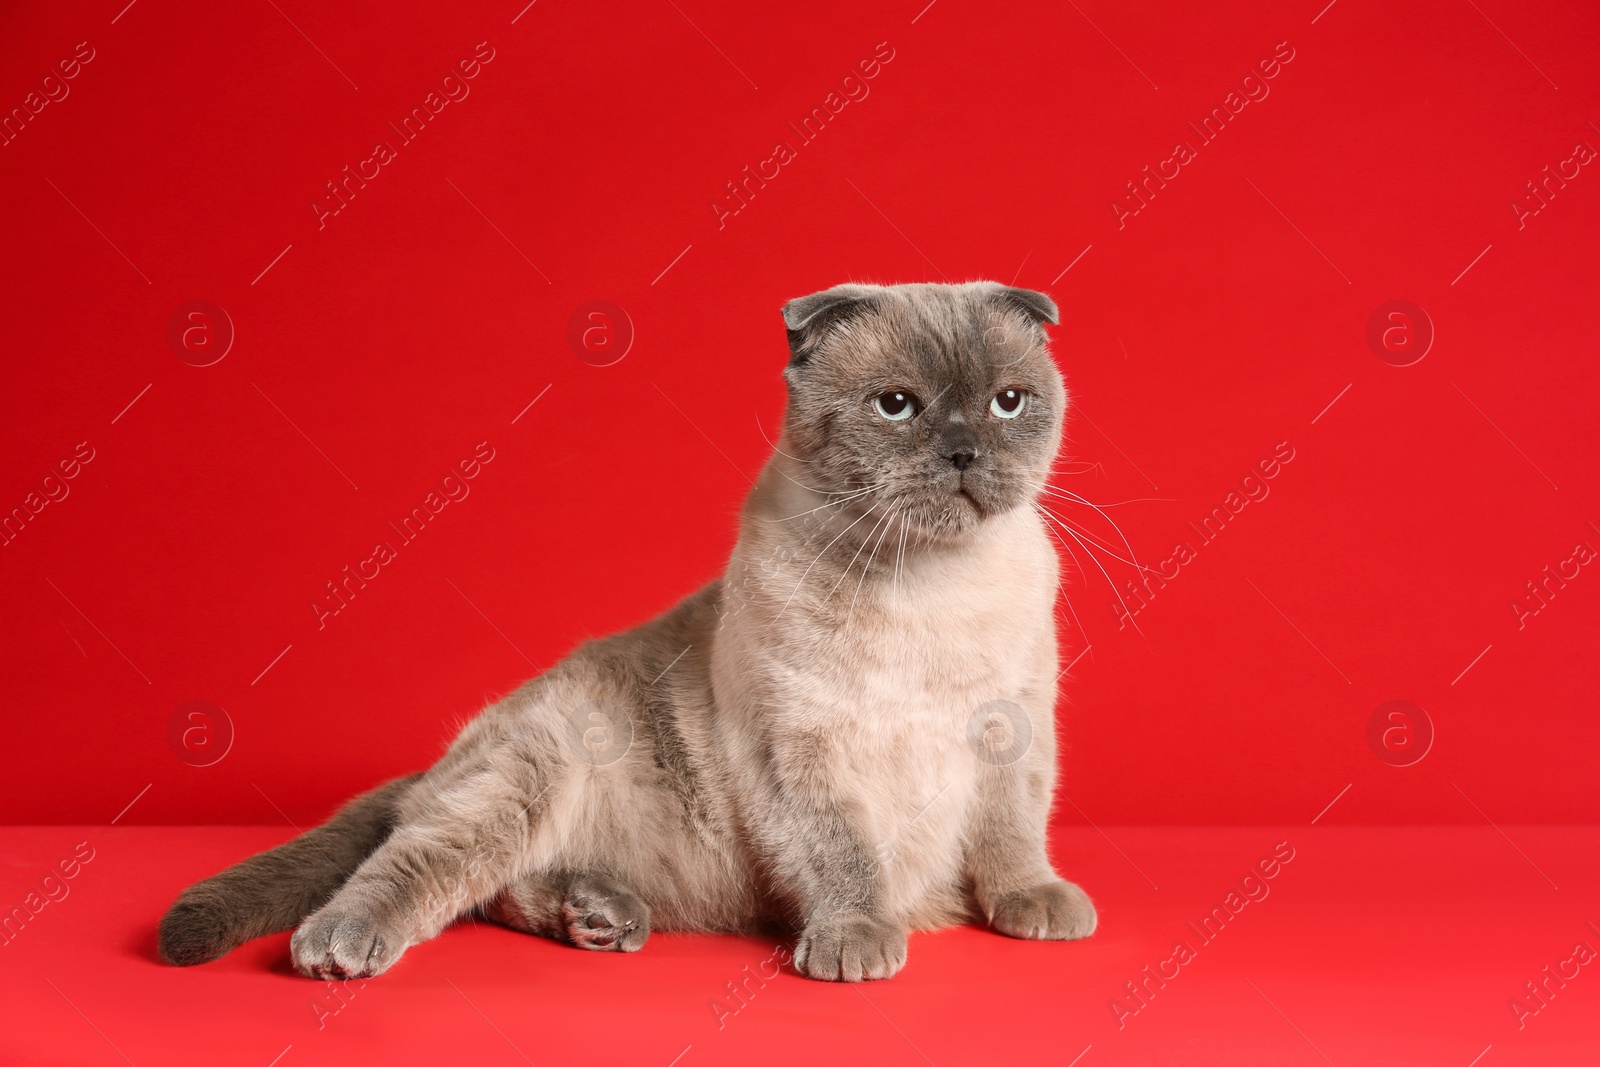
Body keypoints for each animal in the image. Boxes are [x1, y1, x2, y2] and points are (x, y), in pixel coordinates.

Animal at [156, 279, 1094, 979]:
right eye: (896, 406)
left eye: (1009, 403)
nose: (965, 450)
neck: (928, 588)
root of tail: (455, 751)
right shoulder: (798, 752)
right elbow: (844, 857)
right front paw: (857, 940)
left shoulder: (1011, 729)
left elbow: (1012, 831)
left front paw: (1032, 904)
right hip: (530, 769)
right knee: (424, 863)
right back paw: (341, 945)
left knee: (499, 888)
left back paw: (598, 915)